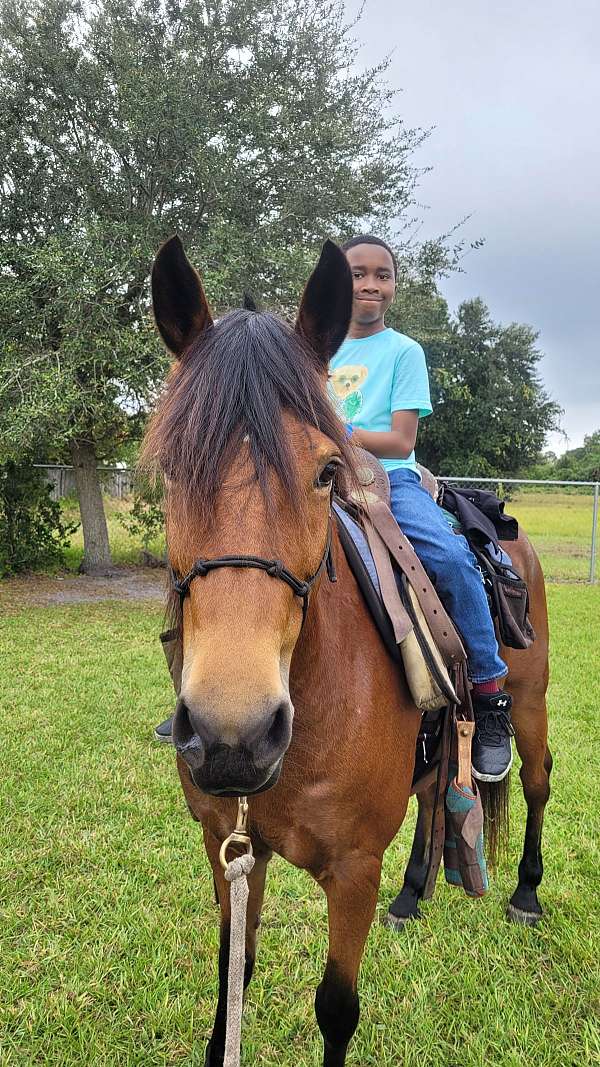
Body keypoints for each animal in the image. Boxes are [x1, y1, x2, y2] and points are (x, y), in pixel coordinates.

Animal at [140, 237, 550, 1067]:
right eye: (170, 469)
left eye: (327, 471)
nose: (232, 736)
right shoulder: (227, 846)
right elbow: (233, 982)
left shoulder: (354, 867)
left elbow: (336, 1008)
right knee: (434, 796)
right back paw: (414, 892)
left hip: (530, 704)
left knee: (535, 782)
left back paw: (524, 888)